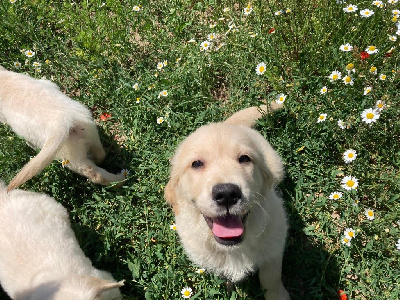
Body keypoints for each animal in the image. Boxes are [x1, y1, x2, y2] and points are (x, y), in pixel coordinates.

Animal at [166, 103, 290, 300]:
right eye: (196, 163)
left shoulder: (275, 244)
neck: (234, 248)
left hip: (276, 167)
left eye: (245, 158)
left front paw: (277, 295)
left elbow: (270, 276)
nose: (226, 194)